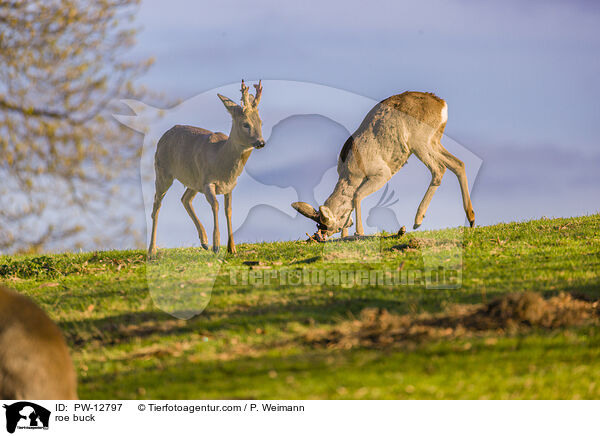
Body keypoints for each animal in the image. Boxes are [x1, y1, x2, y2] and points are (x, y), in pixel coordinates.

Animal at [148, 81, 264, 255]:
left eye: (261, 122)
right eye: (245, 124)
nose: (261, 142)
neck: (220, 160)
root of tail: (163, 137)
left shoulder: (230, 186)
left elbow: (228, 210)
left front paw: (232, 248)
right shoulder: (207, 181)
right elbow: (215, 205)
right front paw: (216, 245)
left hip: (193, 180)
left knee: (185, 199)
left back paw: (203, 241)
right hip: (163, 171)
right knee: (156, 205)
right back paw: (151, 252)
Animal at [292, 90, 476, 240]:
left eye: (327, 221)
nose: (322, 234)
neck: (350, 173)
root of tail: (441, 104)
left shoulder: (382, 174)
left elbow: (356, 195)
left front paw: (359, 232)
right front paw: (347, 234)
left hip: (419, 143)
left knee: (439, 169)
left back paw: (417, 221)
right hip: (434, 141)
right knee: (458, 163)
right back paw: (471, 218)